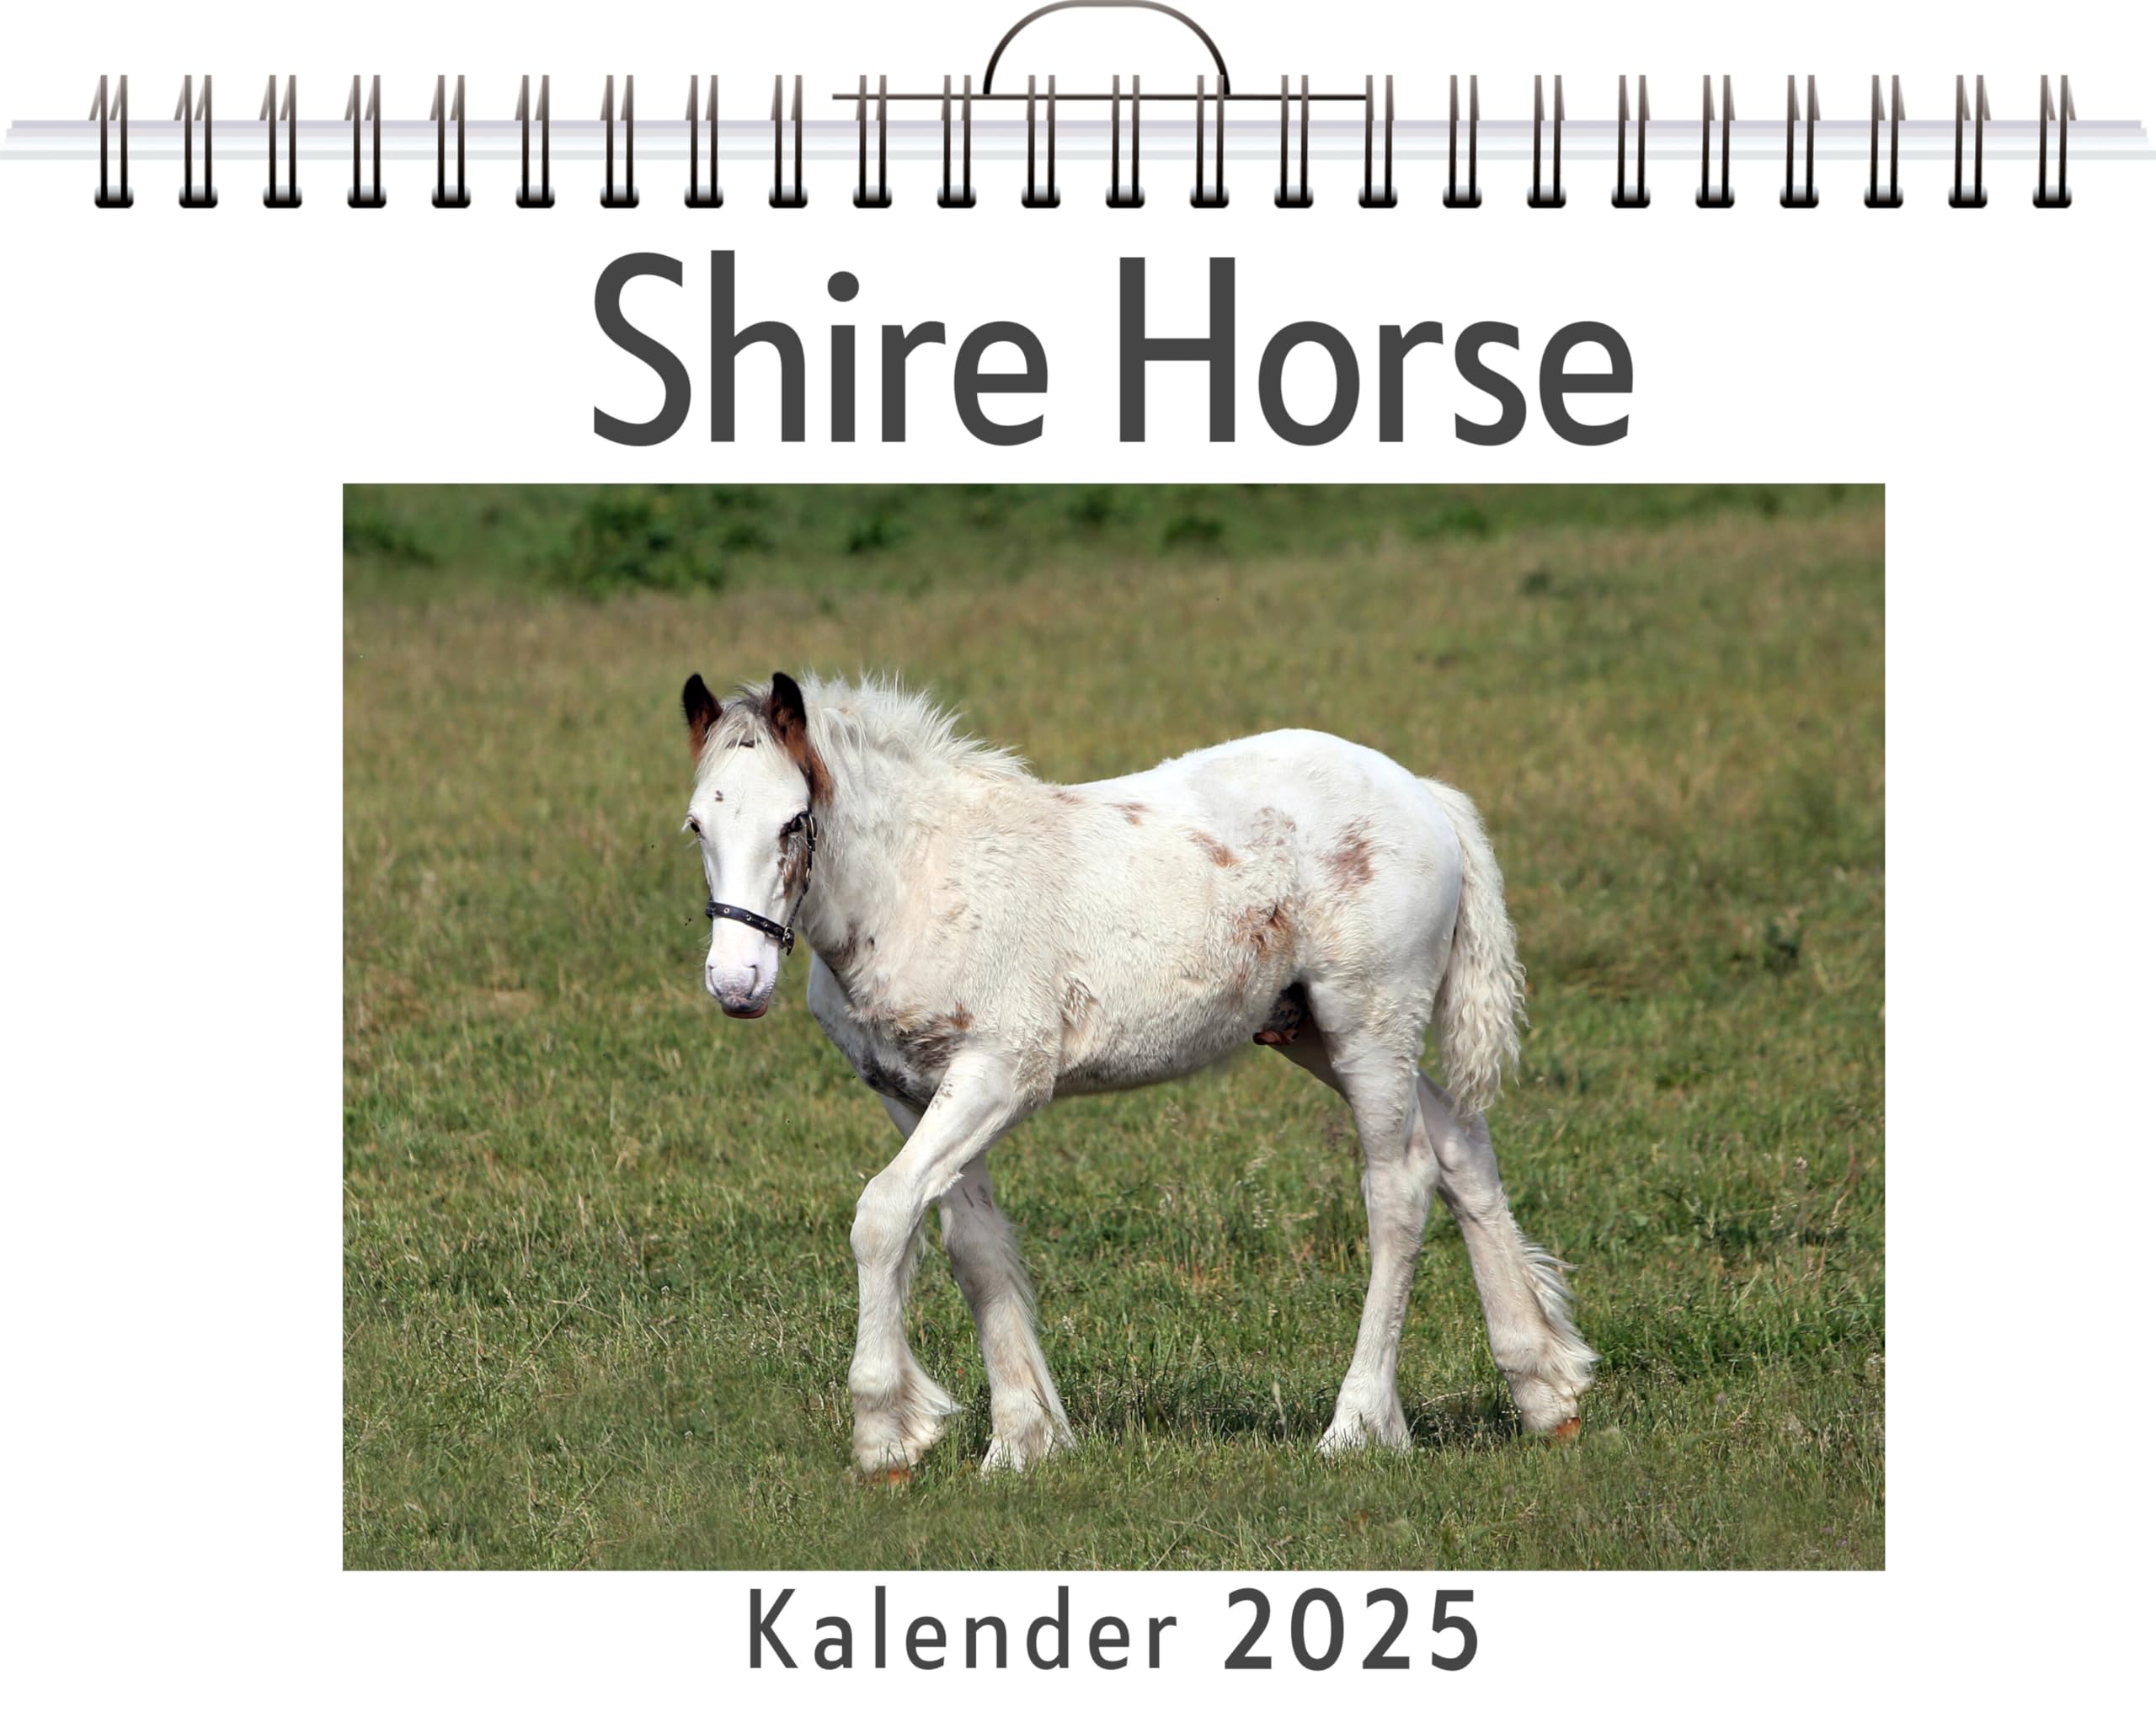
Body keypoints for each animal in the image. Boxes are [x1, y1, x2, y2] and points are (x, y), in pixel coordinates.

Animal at [679, 670, 1595, 1475]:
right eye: (696, 826)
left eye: (794, 822)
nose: (736, 982)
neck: (919, 881)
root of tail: (1423, 792)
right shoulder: (910, 1091)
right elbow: (969, 1243)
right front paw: (1023, 1440)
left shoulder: (1003, 1072)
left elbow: (881, 1213)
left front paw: (885, 1436)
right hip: (1310, 1031)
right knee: (1458, 1141)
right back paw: (1545, 1390)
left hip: (1368, 1019)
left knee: (1399, 1183)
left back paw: (1358, 1424)